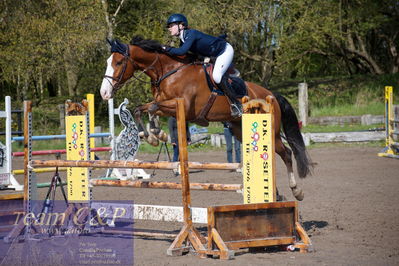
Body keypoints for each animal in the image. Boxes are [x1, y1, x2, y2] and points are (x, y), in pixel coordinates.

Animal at [100, 36, 312, 201]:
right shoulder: (166, 105)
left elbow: (152, 107)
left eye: (118, 63)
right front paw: (153, 134)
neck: (169, 71)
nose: (104, 93)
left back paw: (297, 191)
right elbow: (143, 109)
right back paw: (273, 194)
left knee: (286, 153)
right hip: (240, 130)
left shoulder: (182, 106)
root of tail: (271, 94)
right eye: (108, 62)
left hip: (271, 132)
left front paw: (155, 134)